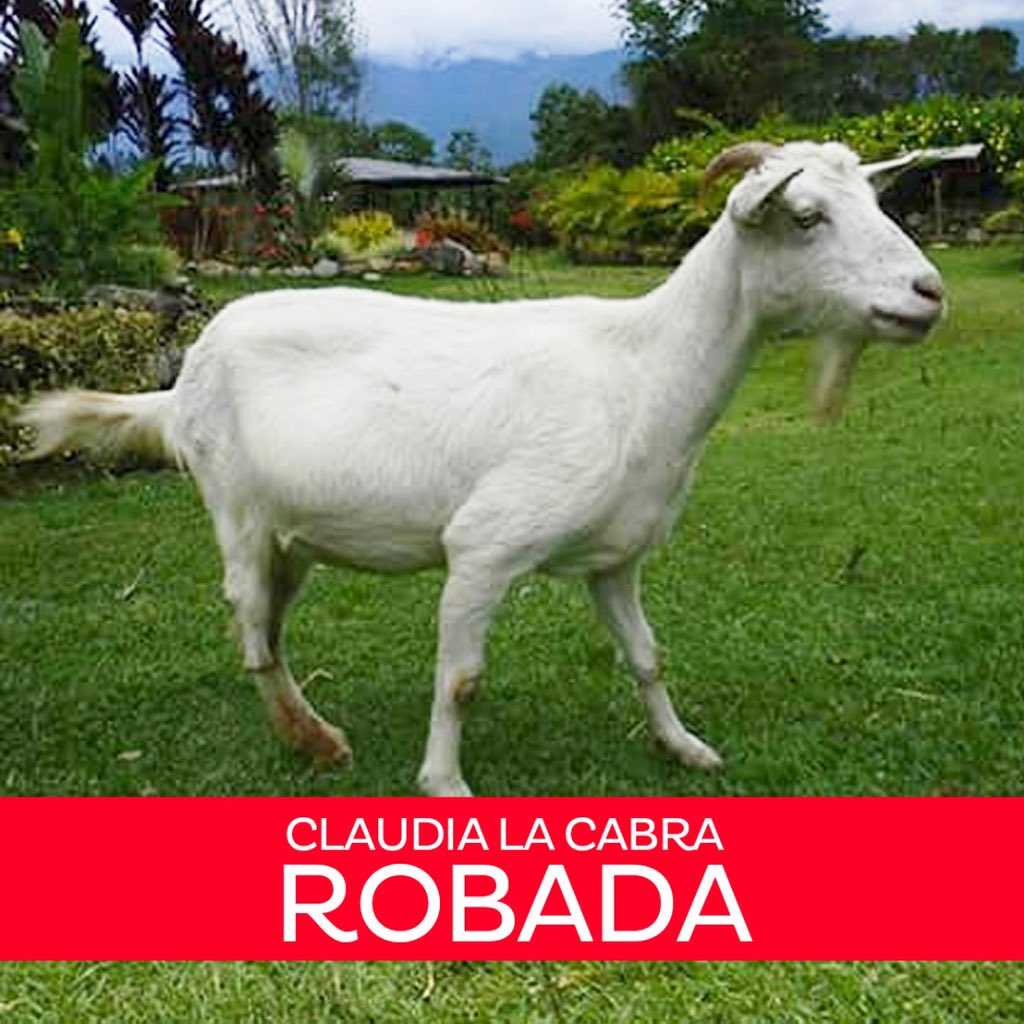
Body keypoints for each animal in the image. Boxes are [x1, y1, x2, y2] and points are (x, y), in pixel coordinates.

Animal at [18, 141, 944, 796]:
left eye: (873, 202)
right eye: (807, 217)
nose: (928, 291)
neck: (643, 371)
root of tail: (178, 385)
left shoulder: (615, 557)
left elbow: (648, 656)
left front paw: (682, 747)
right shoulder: (486, 547)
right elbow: (461, 679)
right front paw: (444, 783)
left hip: (294, 533)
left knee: (269, 627)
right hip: (236, 507)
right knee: (249, 628)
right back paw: (315, 739)